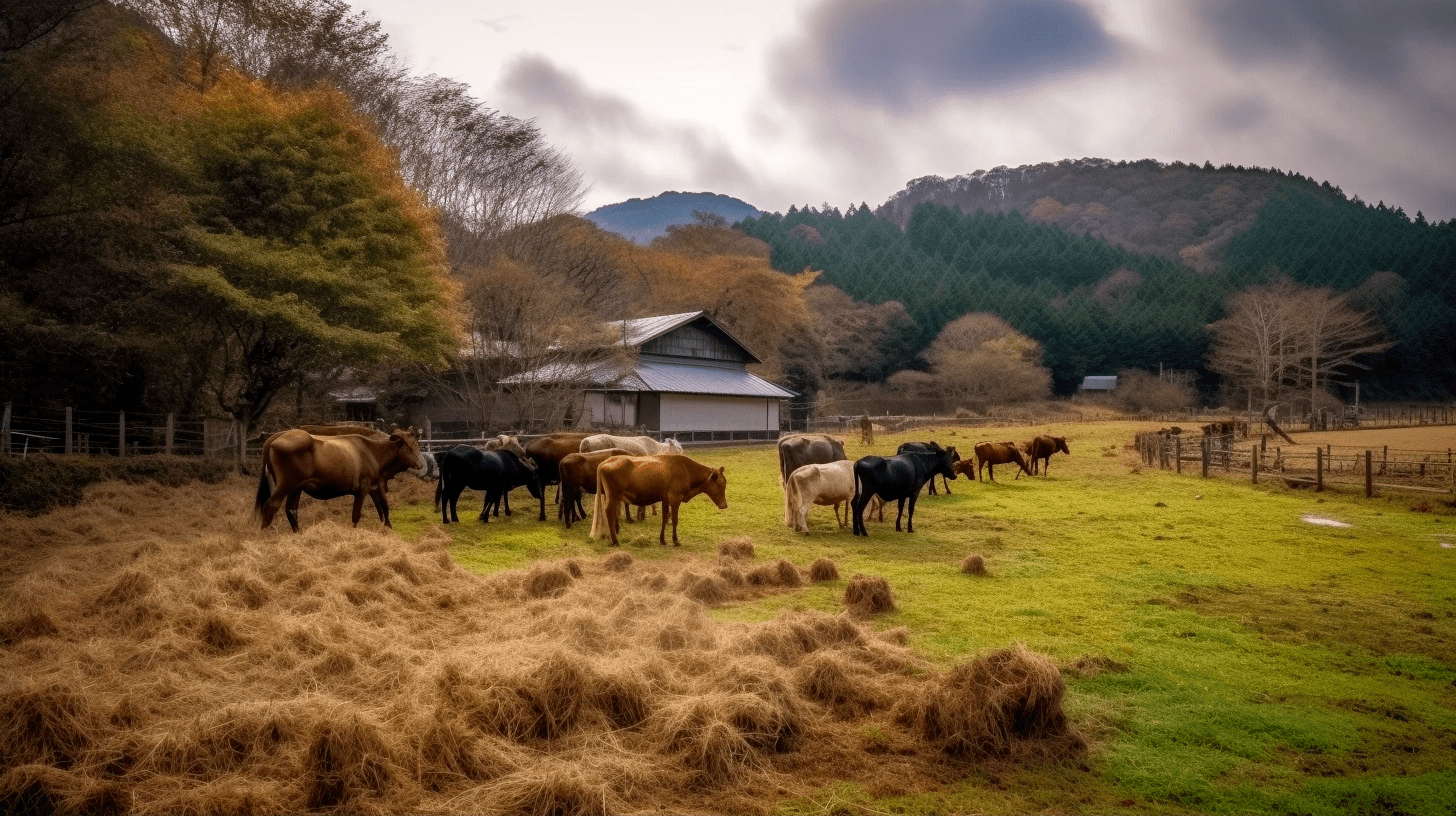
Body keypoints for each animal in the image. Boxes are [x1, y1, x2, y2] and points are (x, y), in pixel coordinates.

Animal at [254, 422, 425, 533]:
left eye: (417, 444)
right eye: (408, 446)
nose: (420, 464)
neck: (373, 452)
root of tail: (278, 436)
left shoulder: (377, 485)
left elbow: (384, 510)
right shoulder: (363, 488)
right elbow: (356, 516)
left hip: (296, 487)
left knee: (291, 509)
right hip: (286, 484)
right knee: (271, 505)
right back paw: (265, 535)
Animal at [588, 451, 728, 547]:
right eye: (720, 484)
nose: (725, 505)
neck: (685, 469)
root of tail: (607, 461)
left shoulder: (665, 498)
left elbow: (665, 518)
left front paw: (662, 539)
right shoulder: (675, 498)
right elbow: (675, 520)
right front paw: (675, 540)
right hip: (613, 496)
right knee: (609, 513)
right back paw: (615, 540)